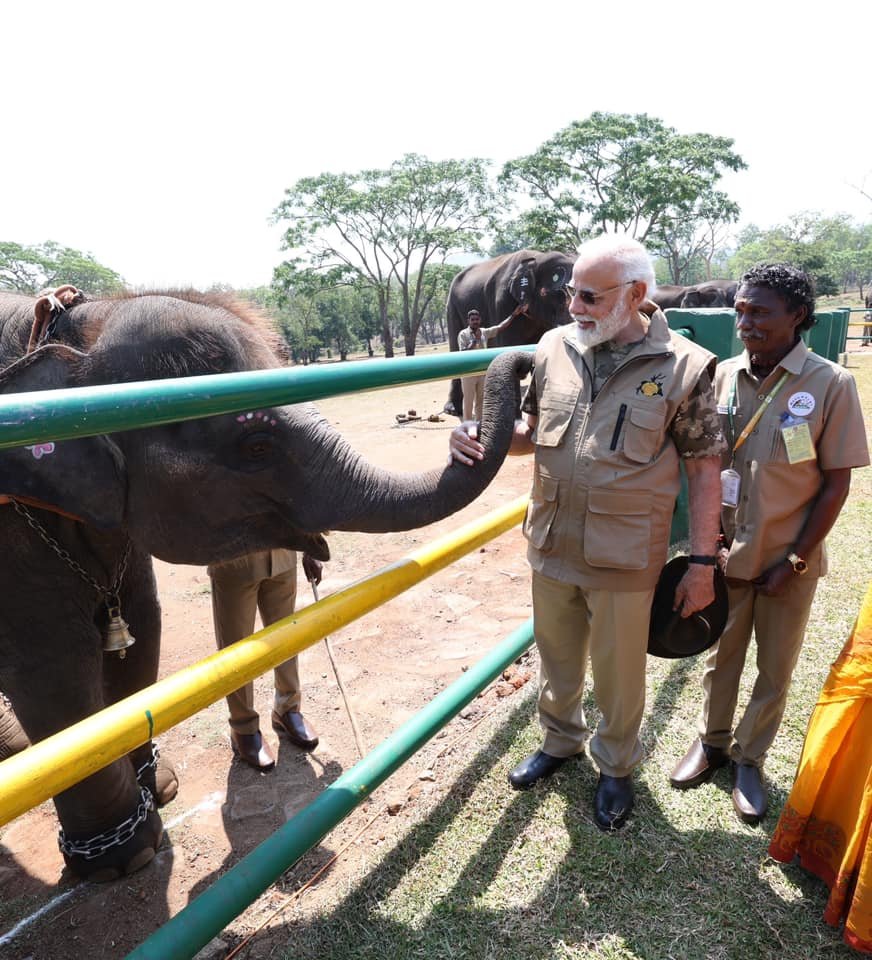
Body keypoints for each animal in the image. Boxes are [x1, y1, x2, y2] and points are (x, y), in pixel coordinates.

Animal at [0, 288, 532, 880]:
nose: (524, 361)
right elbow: (54, 661)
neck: (72, 332)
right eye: (255, 446)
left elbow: (139, 628)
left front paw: (160, 790)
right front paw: (129, 855)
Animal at [442, 249, 580, 414]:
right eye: (557, 282)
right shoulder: (502, 303)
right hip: (452, 308)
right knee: (455, 348)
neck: (537, 258)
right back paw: (453, 410)